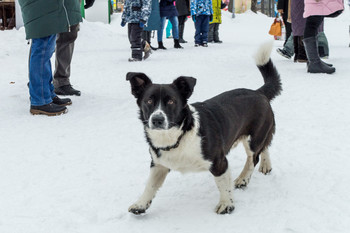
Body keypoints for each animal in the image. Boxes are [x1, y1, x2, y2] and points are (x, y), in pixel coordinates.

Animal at [126, 41, 282, 215]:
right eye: (149, 101)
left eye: (171, 101)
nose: (157, 120)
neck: (179, 136)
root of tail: (258, 92)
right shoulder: (158, 164)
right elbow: (150, 185)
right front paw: (141, 204)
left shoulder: (219, 162)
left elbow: (223, 185)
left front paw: (226, 204)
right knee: (264, 147)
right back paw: (266, 165)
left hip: (253, 138)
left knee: (252, 158)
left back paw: (243, 179)